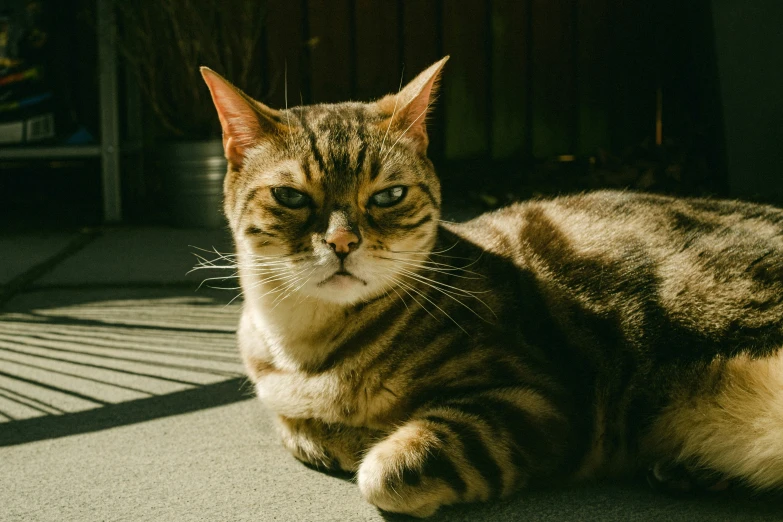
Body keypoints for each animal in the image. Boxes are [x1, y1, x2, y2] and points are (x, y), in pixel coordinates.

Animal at [201, 58, 783, 516]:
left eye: (388, 195)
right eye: (291, 197)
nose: (343, 241)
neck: (304, 348)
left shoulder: (539, 400)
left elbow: (385, 471)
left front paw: (370, 439)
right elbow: (299, 430)